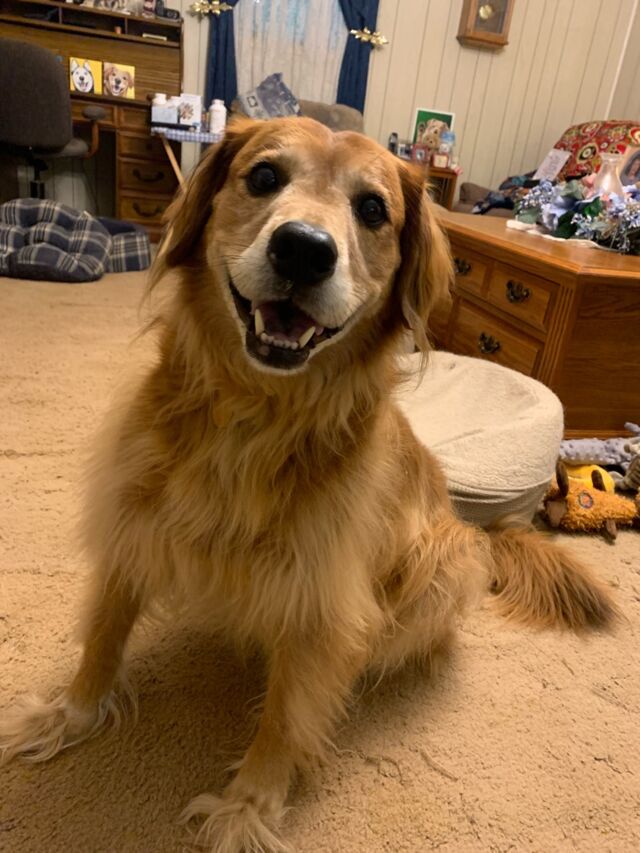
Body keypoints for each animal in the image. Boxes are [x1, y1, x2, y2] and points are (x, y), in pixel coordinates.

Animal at [0, 117, 616, 852]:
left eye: (373, 210)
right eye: (264, 176)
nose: (303, 249)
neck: (254, 415)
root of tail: (483, 532)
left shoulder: (322, 602)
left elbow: (287, 716)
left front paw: (249, 809)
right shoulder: (132, 525)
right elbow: (101, 638)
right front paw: (69, 715)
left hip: (443, 559)